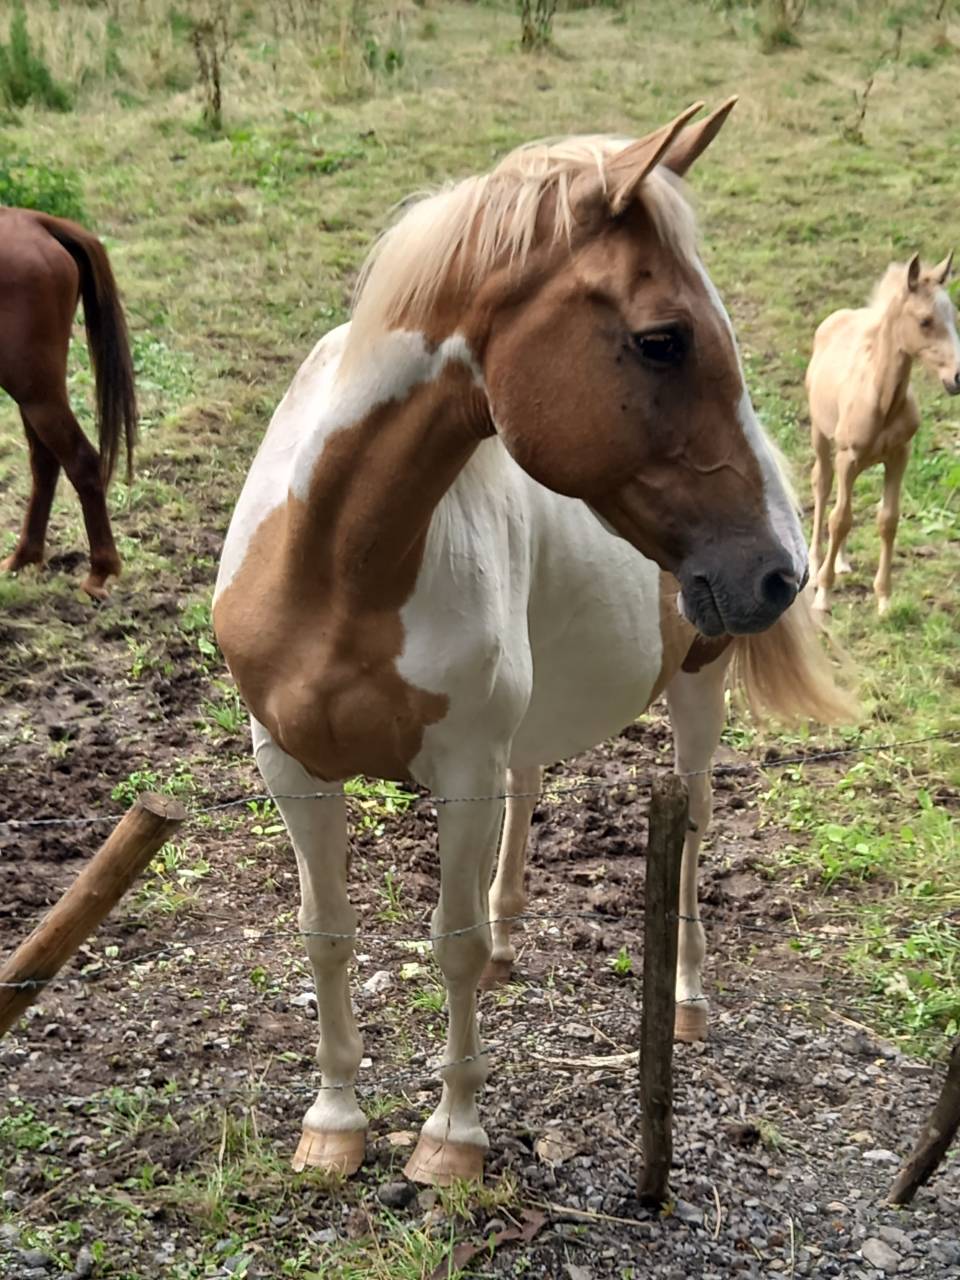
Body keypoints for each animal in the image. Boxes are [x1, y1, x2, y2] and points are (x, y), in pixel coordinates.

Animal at [0, 208, 137, 600]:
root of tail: (34, 221)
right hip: (36, 392)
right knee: (46, 462)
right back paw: (23, 557)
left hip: (36, 392)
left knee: (80, 460)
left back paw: (99, 571)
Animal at [214, 100, 852, 1187]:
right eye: (662, 339)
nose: (779, 573)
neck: (336, 564)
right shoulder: (290, 763)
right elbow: (327, 933)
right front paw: (334, 1119)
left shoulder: (460, 771)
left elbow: (452, 943)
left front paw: (452, 1137)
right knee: (533, 781)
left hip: (698, 691)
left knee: (691, 833)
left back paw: (687, 999)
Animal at [807, 252, 960, 616]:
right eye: (925, 321)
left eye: (954, 316)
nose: (958, 378)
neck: (882, 399)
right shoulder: (847, 456)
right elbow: (839, 519)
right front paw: (824, 594)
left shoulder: (899, 455)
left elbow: (887, 520)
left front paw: (885, 600)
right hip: (821, 436)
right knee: (823, 487)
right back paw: (816, 565)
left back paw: (841, 562)